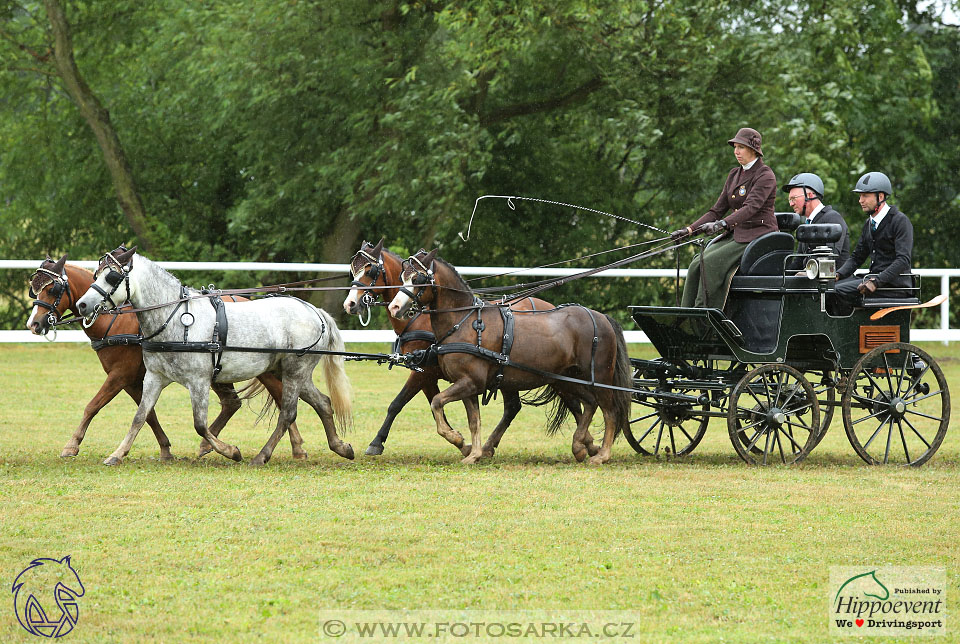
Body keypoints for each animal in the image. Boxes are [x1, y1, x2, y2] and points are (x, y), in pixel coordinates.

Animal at [26, 254, 306, 460]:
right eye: (33, 290)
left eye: (52, 290)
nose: (34, 324)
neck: (117, 323)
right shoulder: (134, 380)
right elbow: (147, 414)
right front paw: (165, 448)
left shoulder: (120, 375)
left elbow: (92, 406)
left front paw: (71, 445)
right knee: (232, 403)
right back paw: (208, 444)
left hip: (261, 369)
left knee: (280, 398)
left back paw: (296, 447)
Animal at [74, 244, 352, 466]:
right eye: (96, 274)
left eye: (112, 276)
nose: (82, 305)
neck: (174, 318)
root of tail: (314, 311)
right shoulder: (153, 377)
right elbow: (139, 417)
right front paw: (117, 454)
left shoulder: (198, 381)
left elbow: (200, 424)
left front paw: (231, 451)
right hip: (289, 371)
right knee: (322, 402)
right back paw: (341, 447)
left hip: (295, 370)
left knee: (287, 413)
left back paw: (261, 456)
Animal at [344, 240, 564, 458]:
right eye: (353, 271)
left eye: (370, 270)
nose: (350, 304)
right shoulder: (427, 373)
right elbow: (433, 405)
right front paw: (463, 444)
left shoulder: (426, 372)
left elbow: (398, 403)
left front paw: (377, 442)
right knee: (512, 407)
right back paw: (488, 446)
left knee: (512, 407)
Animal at [386, 249, 632, 466]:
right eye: (402, 277)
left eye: (417, 278)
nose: (394, 307)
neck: (464, 321)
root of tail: (600, 317)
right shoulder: (467, 385)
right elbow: (474, 420)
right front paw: (474, 454)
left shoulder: (471, 382)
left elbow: (437, 402)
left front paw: (456, 437)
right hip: (565, 379)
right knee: (589, 404)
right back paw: (579, 445)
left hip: (599, 377)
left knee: (609, 411)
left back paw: (602, 455)